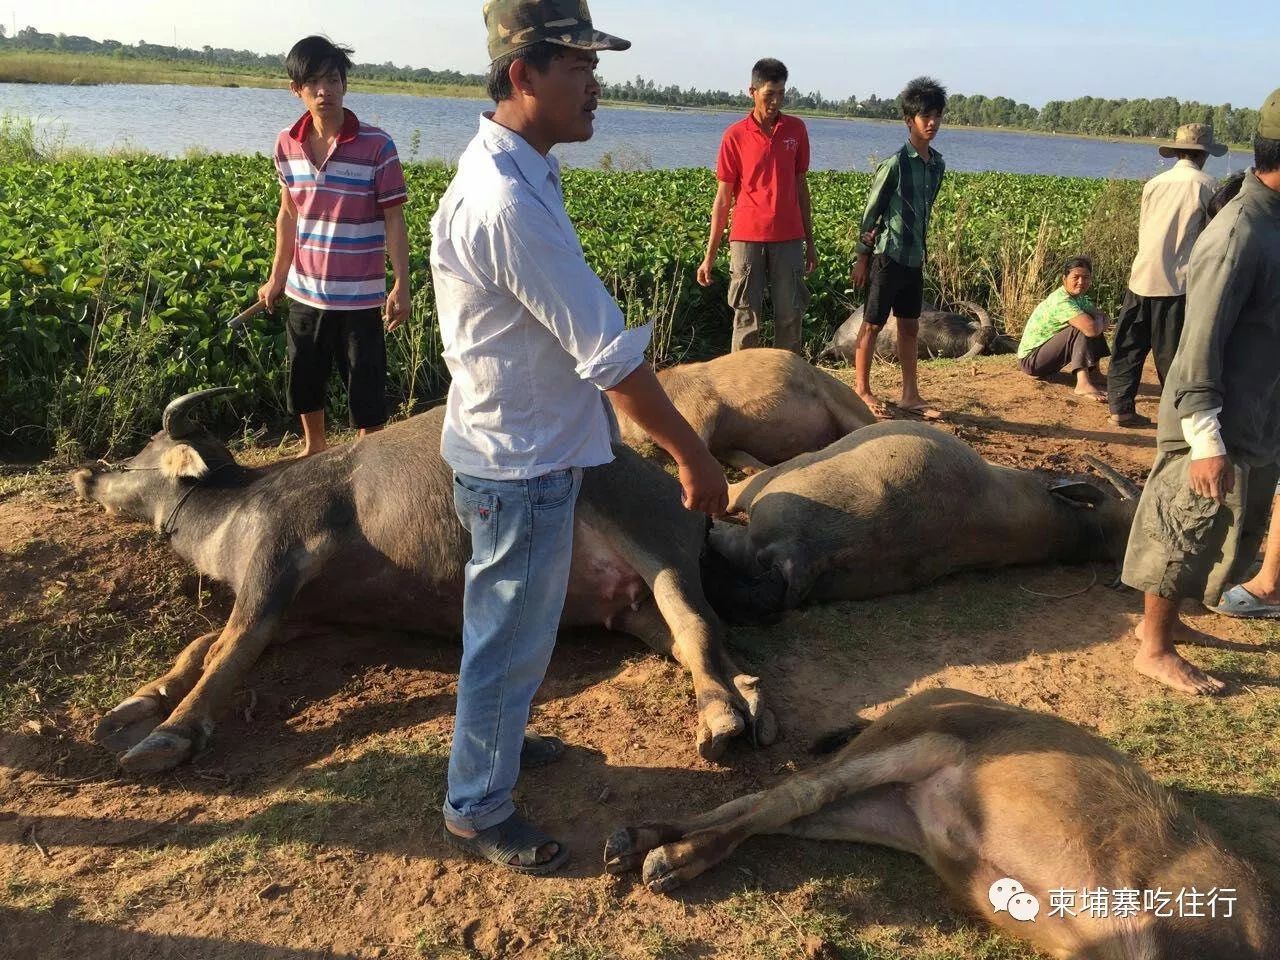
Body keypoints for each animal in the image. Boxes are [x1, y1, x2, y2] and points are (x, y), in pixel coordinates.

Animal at [74, 391, 773, 773]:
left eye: (136, 455)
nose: (87, 473)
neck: (238, 505)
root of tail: (674, 487)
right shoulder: (295, 613)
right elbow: (205, 645)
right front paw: (141, 699)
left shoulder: (277, 562)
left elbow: (226, 650)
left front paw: (170, 732)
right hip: (631, 606)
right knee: (695, 641)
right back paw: (745, 696)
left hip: (656, 551)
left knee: (698, 624)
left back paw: (720, 715)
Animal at [604, 686, 1274, 960]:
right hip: (905, 745)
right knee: (792, 794)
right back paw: (658, 857)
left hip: (884, 813)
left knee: (776, 810)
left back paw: (643, 843)